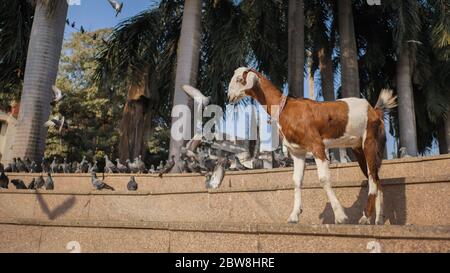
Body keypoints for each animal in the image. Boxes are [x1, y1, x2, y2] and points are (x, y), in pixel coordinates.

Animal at [229, 67, 398, 224]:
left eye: (239, 79)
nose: (229, 97)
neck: (286, 108)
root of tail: (374, 111)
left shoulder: (316, 145)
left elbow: (323, 178)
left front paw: (340, 216)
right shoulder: (297, 152)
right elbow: (296, 180)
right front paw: (294, 216)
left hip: (369, 140)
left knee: (372, 177)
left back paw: (365, 217)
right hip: (358, 148)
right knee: (375, 178)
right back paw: (378, 220)